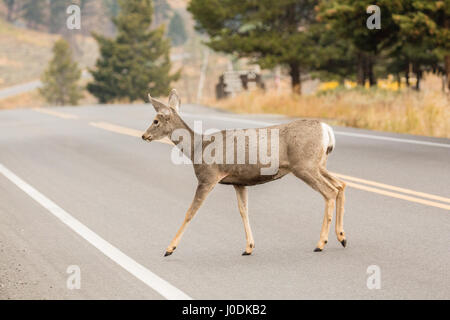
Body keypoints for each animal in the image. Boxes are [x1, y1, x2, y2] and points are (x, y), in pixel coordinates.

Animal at [142, 89, 346, 256]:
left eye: (156, 121)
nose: (144, 135)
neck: (198, 148)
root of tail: (326, 130)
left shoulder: (208, 177)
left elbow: (190, 211)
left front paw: (169, 248)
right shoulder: (239, 182)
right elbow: (243, 211)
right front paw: (249, 247)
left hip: (305, 165)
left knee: (330, 191)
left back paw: (321, 243)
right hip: (318, 164)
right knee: (340, 185)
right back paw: (342, 237)